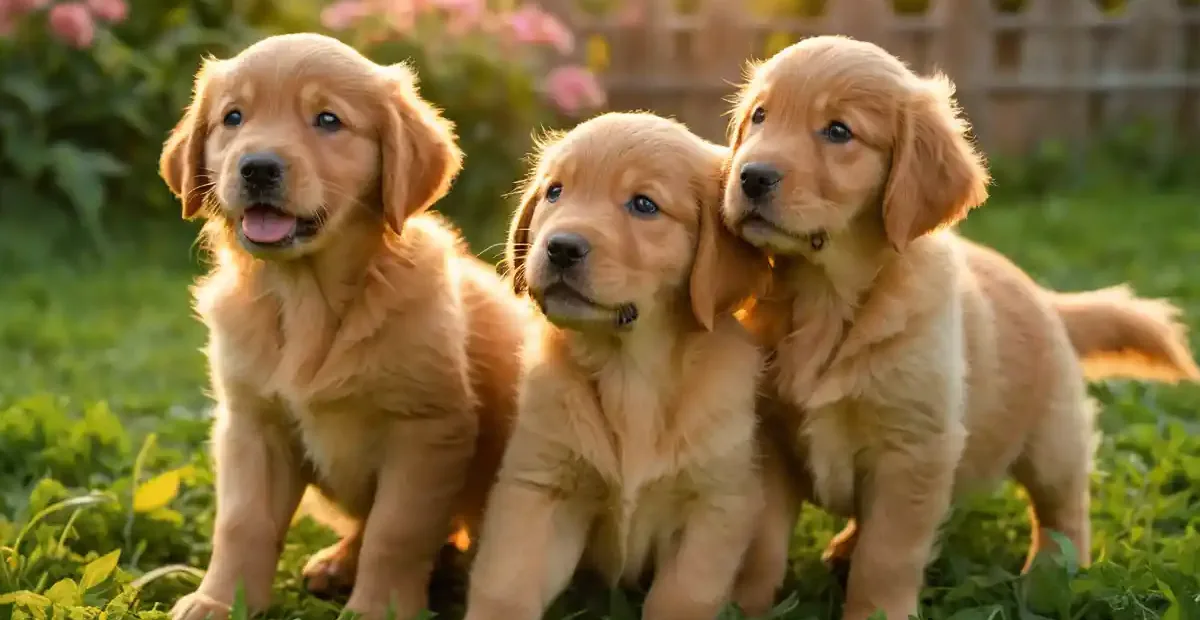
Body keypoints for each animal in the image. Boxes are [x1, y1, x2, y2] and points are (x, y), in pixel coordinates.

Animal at [158, 33, 525, 618]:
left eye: (328, 120)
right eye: (233, 117)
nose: (257, 167)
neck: (309, 296)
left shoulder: (427, 430)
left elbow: (394, 532)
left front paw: (379, 608)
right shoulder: (253, 423)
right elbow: (241, 523)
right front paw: (219, 601)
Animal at [463, 112, 801, 618]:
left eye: (644, 205)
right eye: (555, 192)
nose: (561, 247)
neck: (630, 367)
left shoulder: (716, 506)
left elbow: (681, 596)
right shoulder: (539, 489)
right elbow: (505, 584)